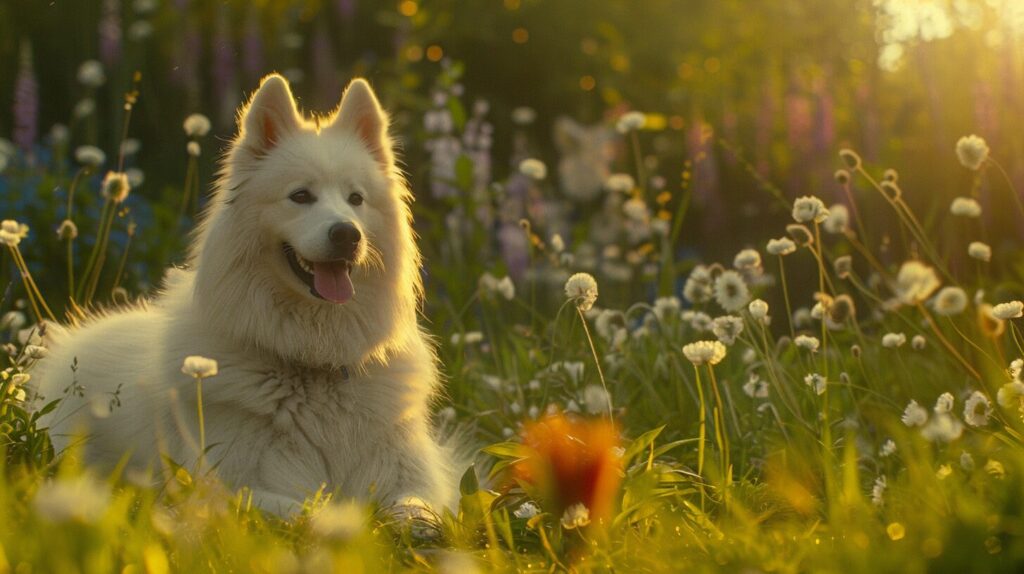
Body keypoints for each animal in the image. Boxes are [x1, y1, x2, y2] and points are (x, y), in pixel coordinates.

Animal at [34, 73, 454, 511]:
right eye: (300, 196)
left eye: (356, 199)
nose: (347, 235)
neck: (316, 363)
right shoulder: (230, 485)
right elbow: (309, 510)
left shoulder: (415, 479)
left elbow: (417, 510)